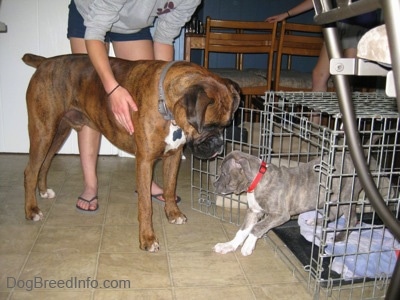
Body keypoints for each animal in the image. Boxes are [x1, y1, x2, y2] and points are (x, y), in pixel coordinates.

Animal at [21, 53, 239, 251]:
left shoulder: (173, 157)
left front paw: (173, 213)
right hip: (43, 132)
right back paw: (31, 210)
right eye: (208, 127)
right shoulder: (145, 161)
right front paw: (147, 238)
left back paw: (43, 191)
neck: (165, 105)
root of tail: (45, 62)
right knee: (30, 171)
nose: (220, 145)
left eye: (227, 125)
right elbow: (145, 205)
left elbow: (170, 188)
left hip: (58, 133)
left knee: (45, 162)